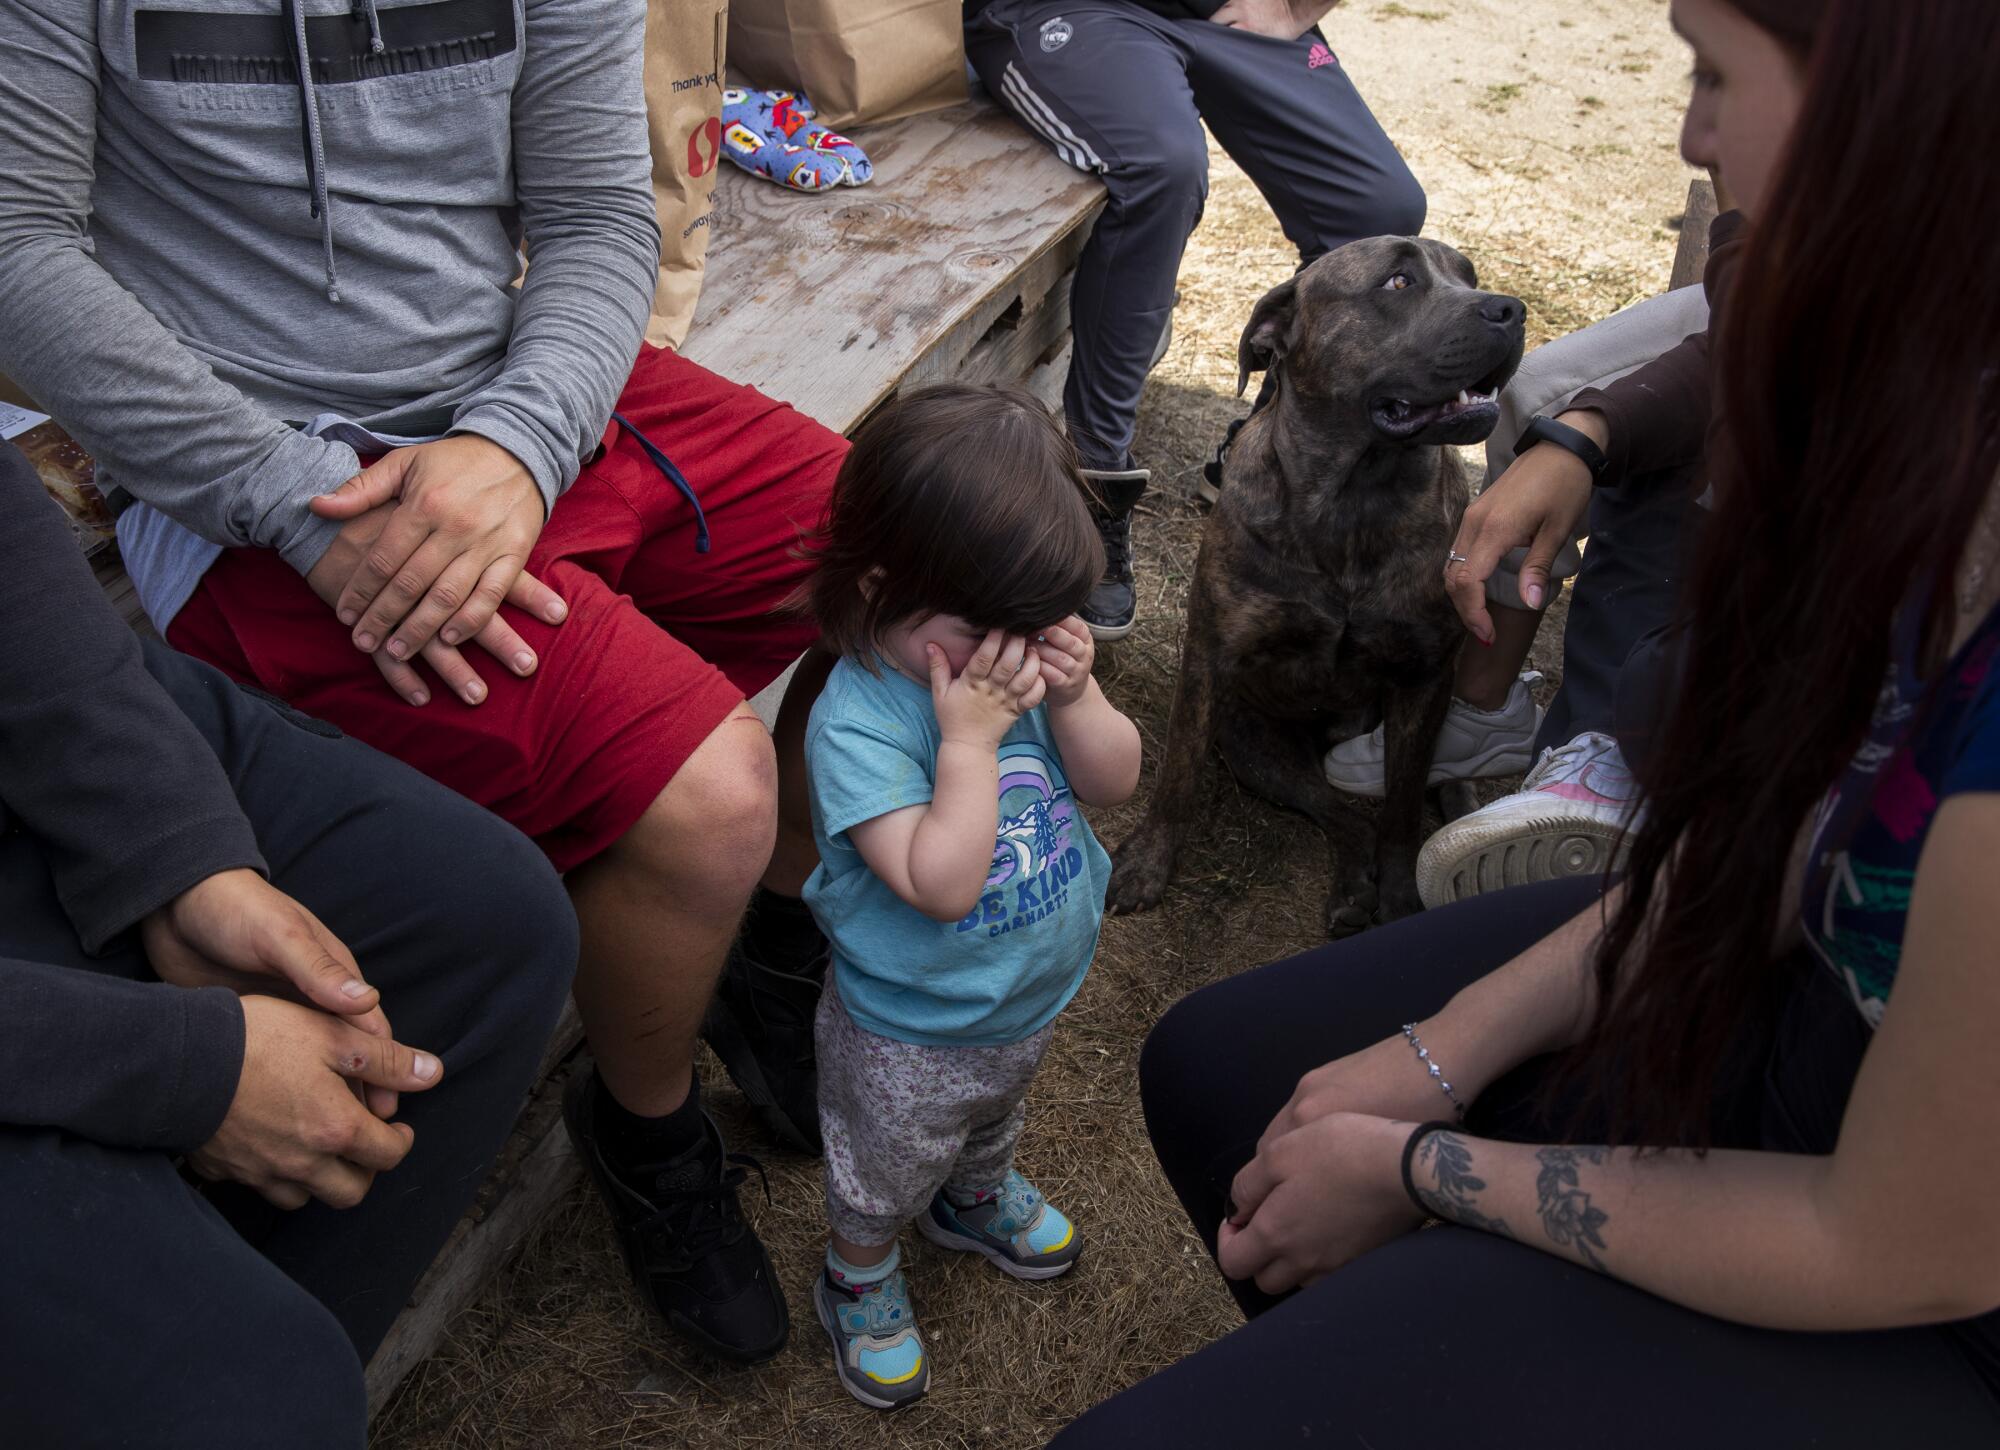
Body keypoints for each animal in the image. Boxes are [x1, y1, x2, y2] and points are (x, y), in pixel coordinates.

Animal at [1112, 232, 1512, 932]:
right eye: (1399, 281)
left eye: (1469, 276)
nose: (1511, 310)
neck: (1353, 497)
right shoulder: (1209, 659)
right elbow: (1179, 771)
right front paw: (1147, 864)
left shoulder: (1425, 677)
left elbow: (1403, 806)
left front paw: (1402, 896)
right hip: (1254, 747)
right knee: (1343, 815)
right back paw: (1352, 889)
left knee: (1419, 791)